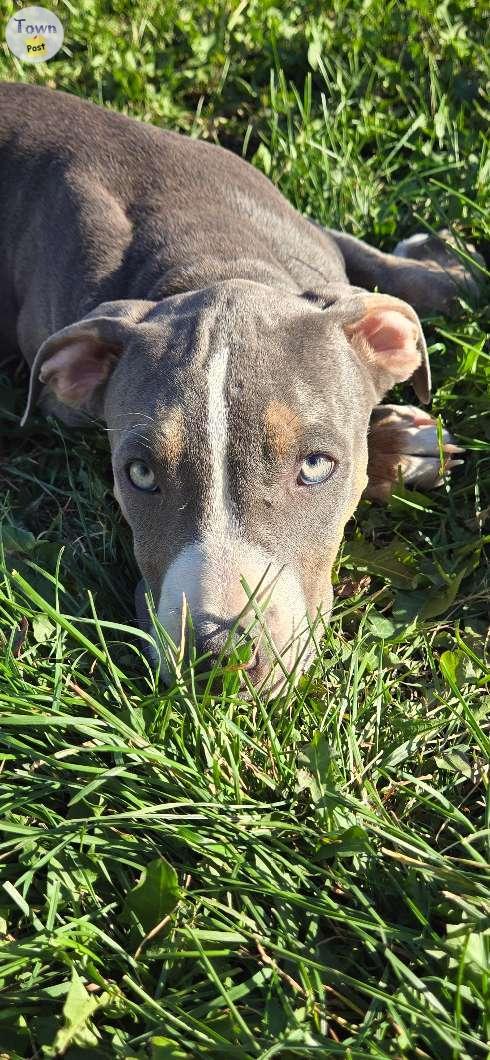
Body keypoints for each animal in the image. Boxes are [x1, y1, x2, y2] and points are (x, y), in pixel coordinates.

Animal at [0, 84, 473, 695]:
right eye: (140, 474)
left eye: (316, 466)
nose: (218, 655)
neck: (206, 258)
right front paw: (397, 447)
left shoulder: (310, 237)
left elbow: (401, 276)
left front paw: (451, 266)